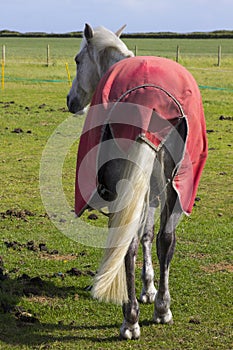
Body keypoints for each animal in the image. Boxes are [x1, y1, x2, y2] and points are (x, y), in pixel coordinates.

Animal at [67, 22, 208, 340]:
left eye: (78, 61)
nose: (71, 102)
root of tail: (151, 102)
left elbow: (138, 236)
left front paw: (143, 289)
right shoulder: (154, 189)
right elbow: (150, 235)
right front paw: (151, 291)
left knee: (130, 243)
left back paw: (130, 319)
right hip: (175, 184)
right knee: (166, 238)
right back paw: (162, 309)